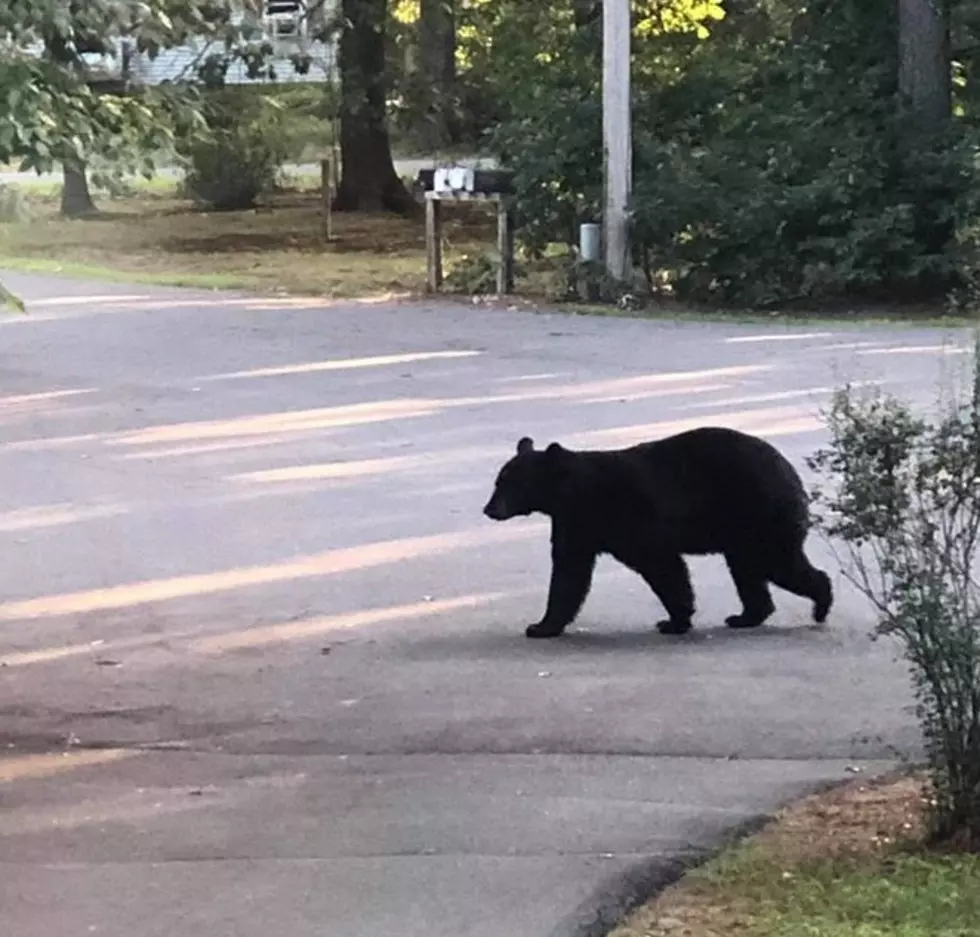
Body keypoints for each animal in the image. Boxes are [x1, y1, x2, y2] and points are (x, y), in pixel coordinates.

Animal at [482, 430, 836, 636]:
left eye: (508, 484)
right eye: (498, 481)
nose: (489, 509)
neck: (576, 493)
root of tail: (791, 471)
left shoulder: (628, 516)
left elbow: (661, 564)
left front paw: (675, 620)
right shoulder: (576, 523)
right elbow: (569, 571)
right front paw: (543, 625)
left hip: (760, 512)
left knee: (778, 562)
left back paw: (821, 604)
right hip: (743, 528)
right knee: (747, 569)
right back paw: (746, 615)